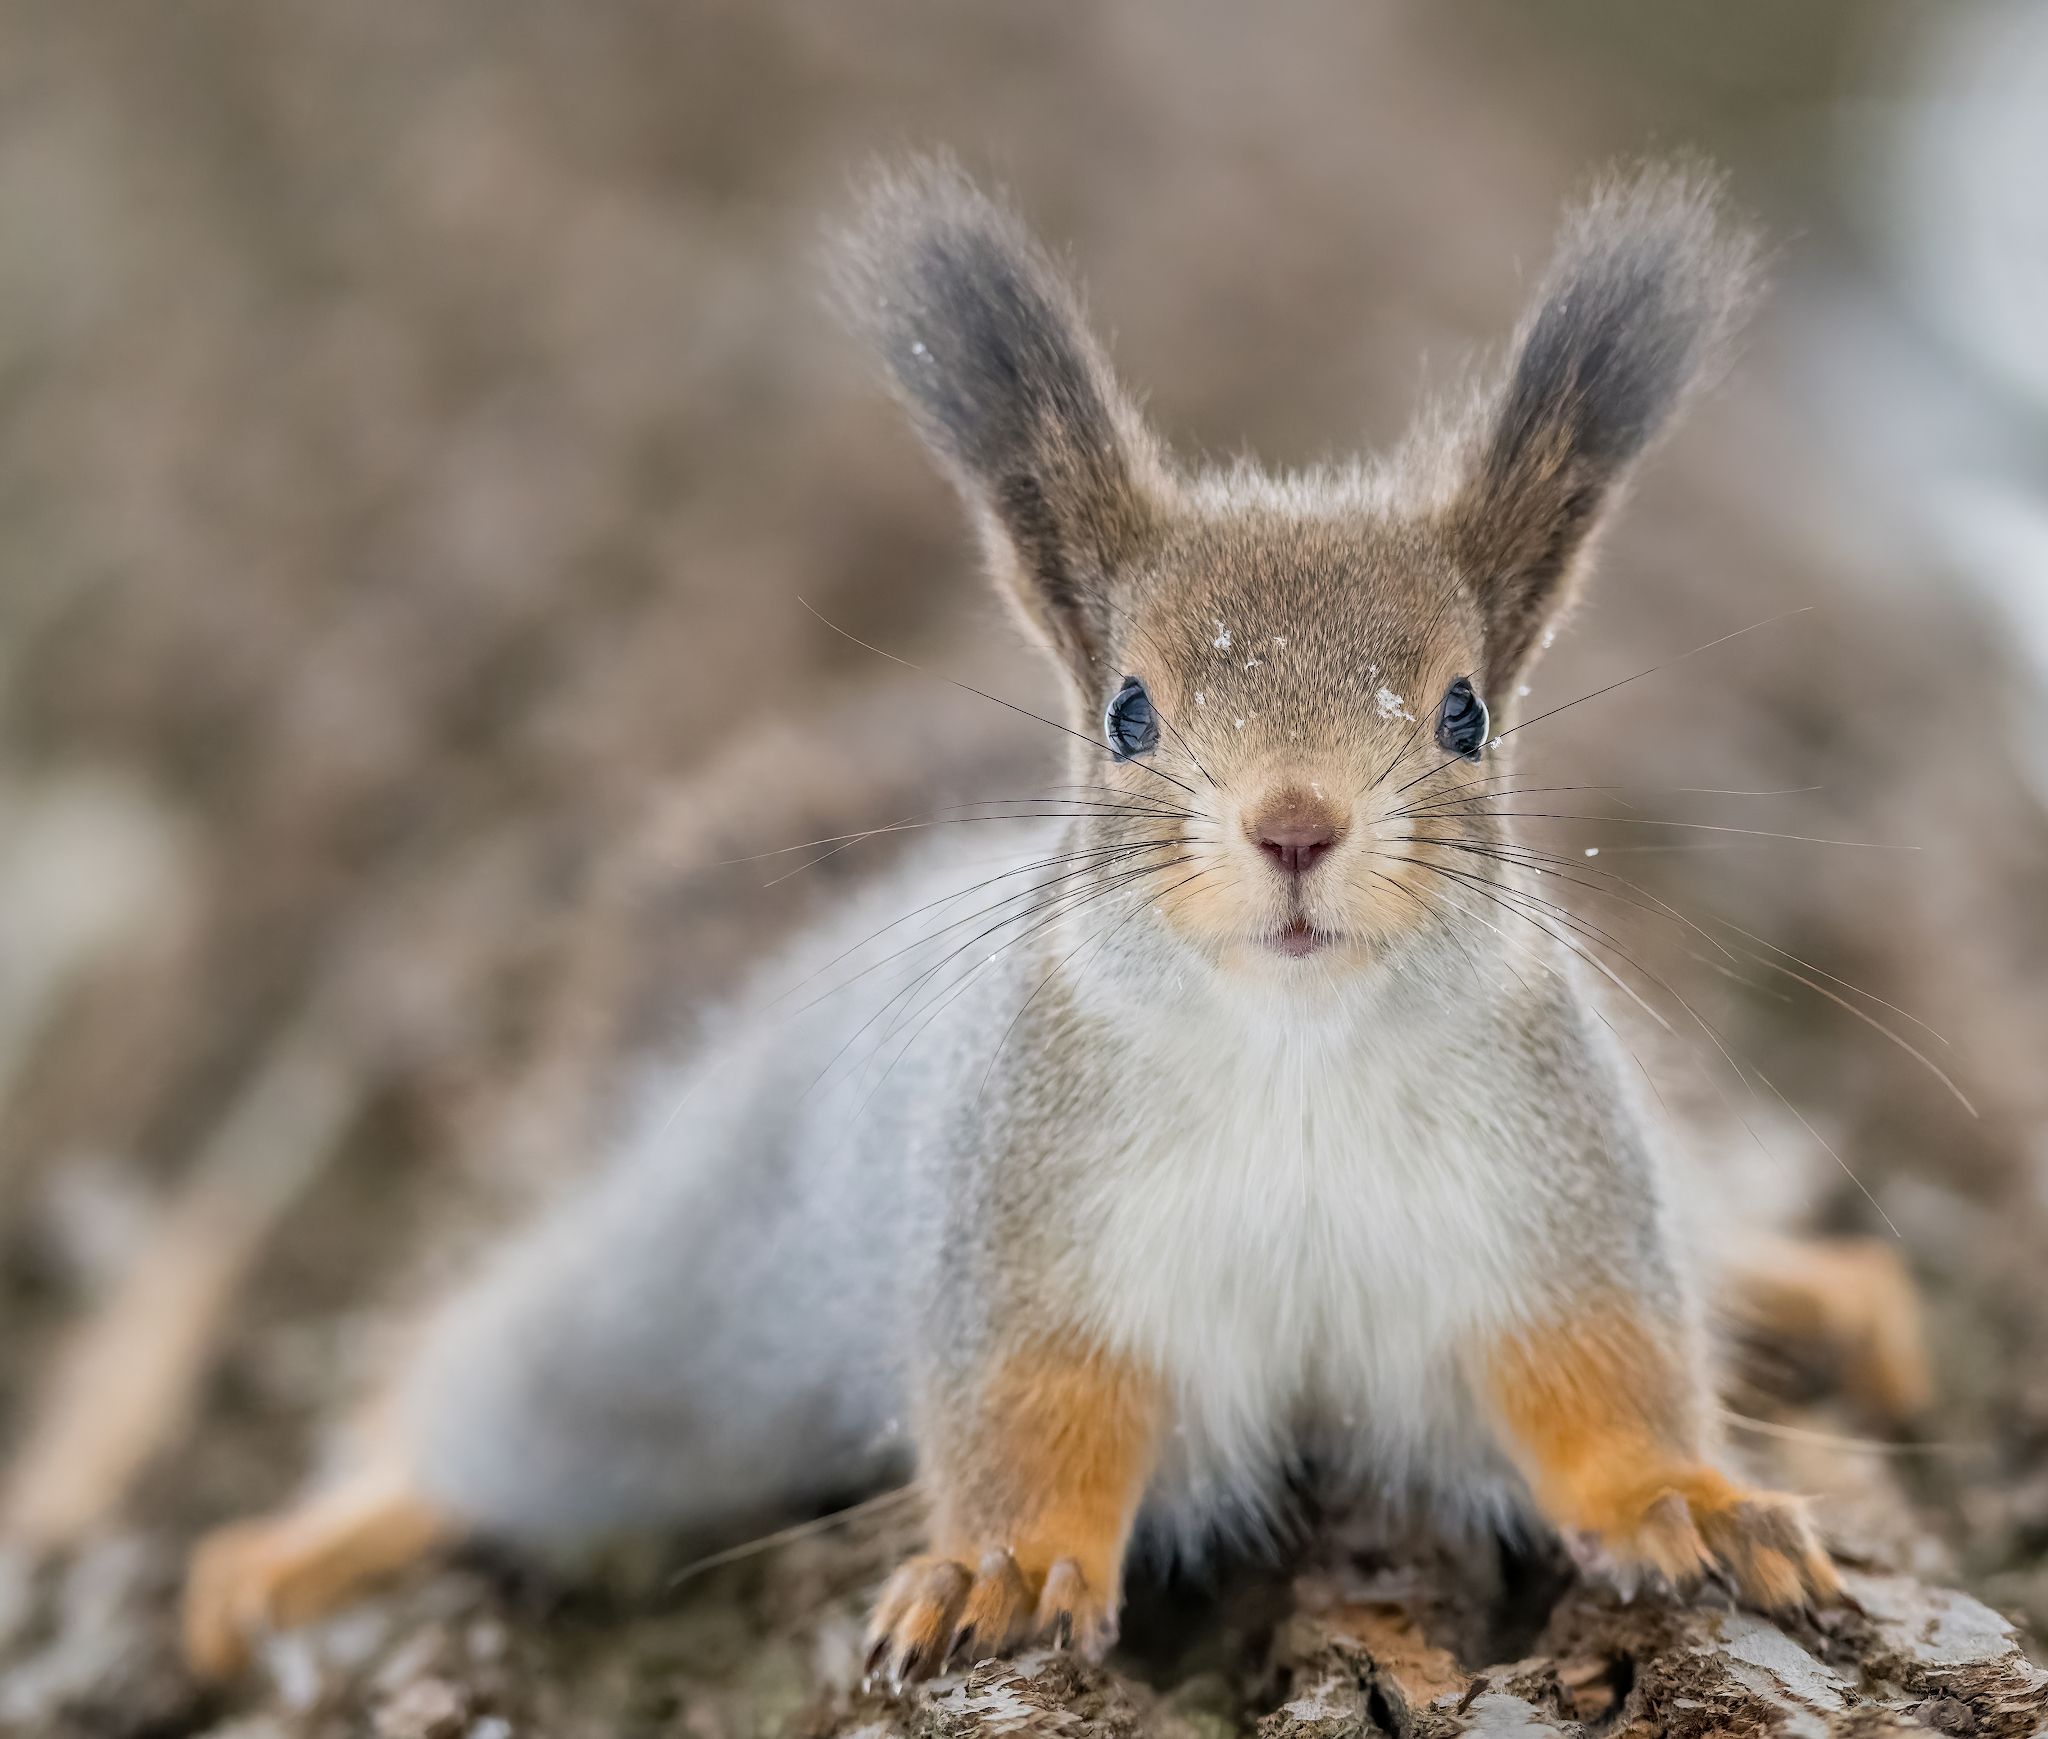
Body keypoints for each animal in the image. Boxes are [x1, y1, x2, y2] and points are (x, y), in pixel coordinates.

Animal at [184, 159, 1925, 1679]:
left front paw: (1697, 1502)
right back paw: (307, 1540)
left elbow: (1605, 1375)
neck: (1295, 1047)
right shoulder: (1025, 1230)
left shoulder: (1551, 1200)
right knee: (491, 1395)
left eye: (1466, 713)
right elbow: (1034, 1410)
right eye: (1129, 714)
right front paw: (1005, 1570)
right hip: (676, 1316)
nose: (1297, 824)